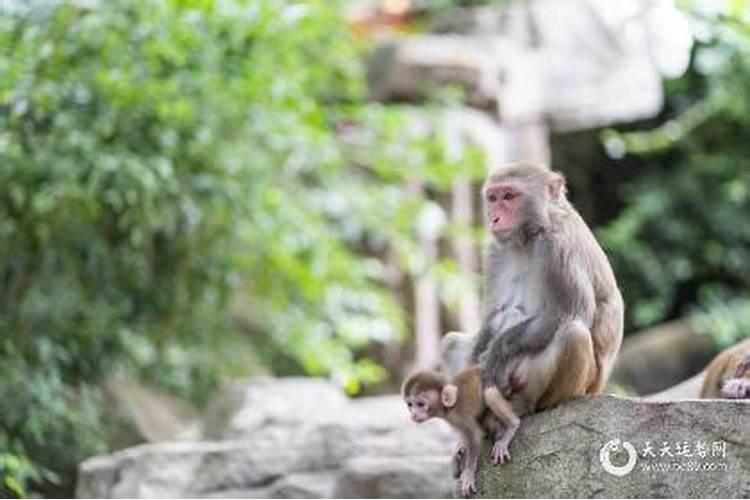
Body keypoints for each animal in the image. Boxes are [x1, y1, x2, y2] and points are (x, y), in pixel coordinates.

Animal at [402, 366, 520, 498]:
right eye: (410, 405)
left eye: (420, 404)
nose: (414, 414)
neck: (448, 407)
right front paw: (461, 444)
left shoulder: (458, 415)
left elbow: (474, 435)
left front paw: (468, 473)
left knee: (488, 393)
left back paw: (511, 427)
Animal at [444, 164, 624, 414]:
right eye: (493, 198)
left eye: (509, 196)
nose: (494, 219)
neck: (529, 236)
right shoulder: (494, 252)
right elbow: (493, 315)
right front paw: (482, 348)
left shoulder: (557, 247)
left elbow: (570, 313)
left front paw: (499, 351)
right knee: (450, 342)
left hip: (575, 385)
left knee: (574, 334)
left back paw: (529, 407)